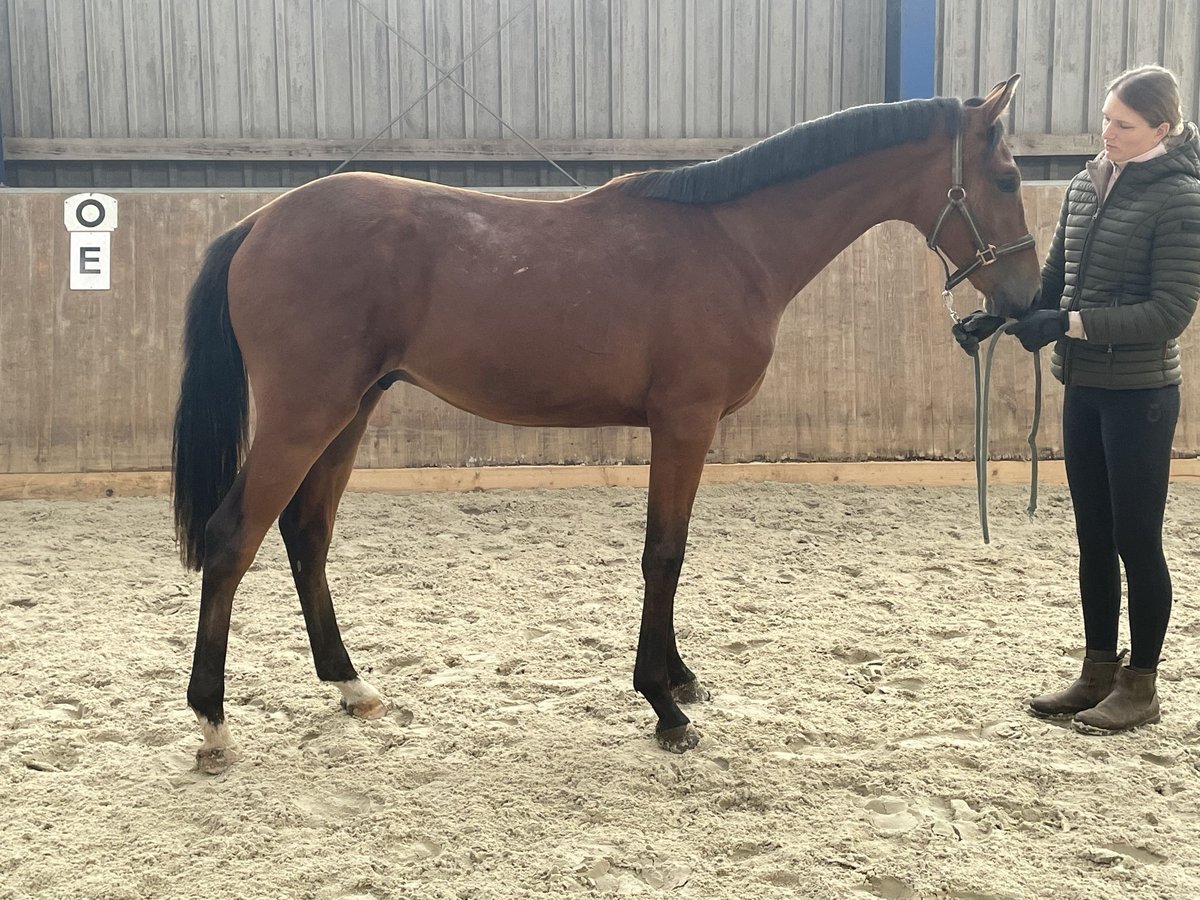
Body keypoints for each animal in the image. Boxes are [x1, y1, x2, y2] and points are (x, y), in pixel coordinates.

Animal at [171, 74, 1041, 777]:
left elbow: (673, 552)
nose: (1029, 298)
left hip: (350, 411)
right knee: (231, 540)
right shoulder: (684, 423)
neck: (731, 241)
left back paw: (351, 686)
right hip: (305, 414)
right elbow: (665, 554)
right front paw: (664, 705)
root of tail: (259, 223)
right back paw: (213, 725)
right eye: (1005, 176)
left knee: (306, 534)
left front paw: (680, 677)